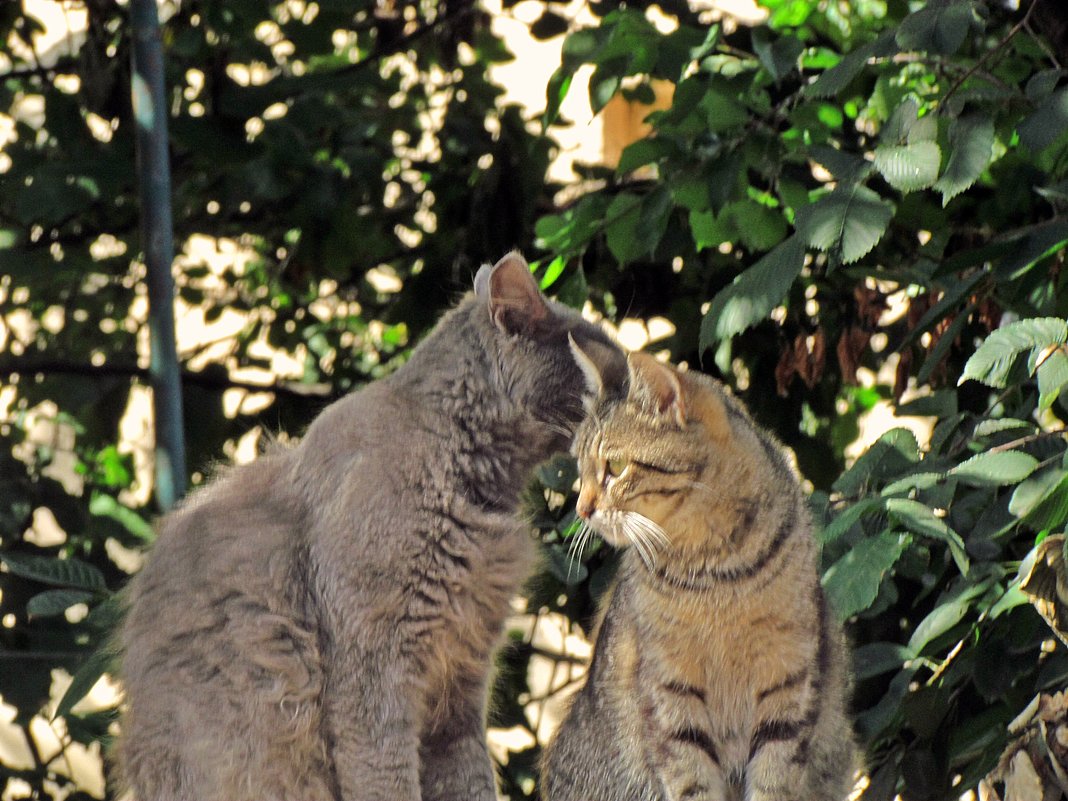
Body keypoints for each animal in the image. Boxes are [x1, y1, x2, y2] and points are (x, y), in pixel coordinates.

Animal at [538, 348, 854, 801]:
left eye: (615, 465)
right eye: (579, 468)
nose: (581, 509)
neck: (715, 574)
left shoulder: (788, 682)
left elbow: (774, 780)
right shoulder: (670, 696)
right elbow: (692, 782)